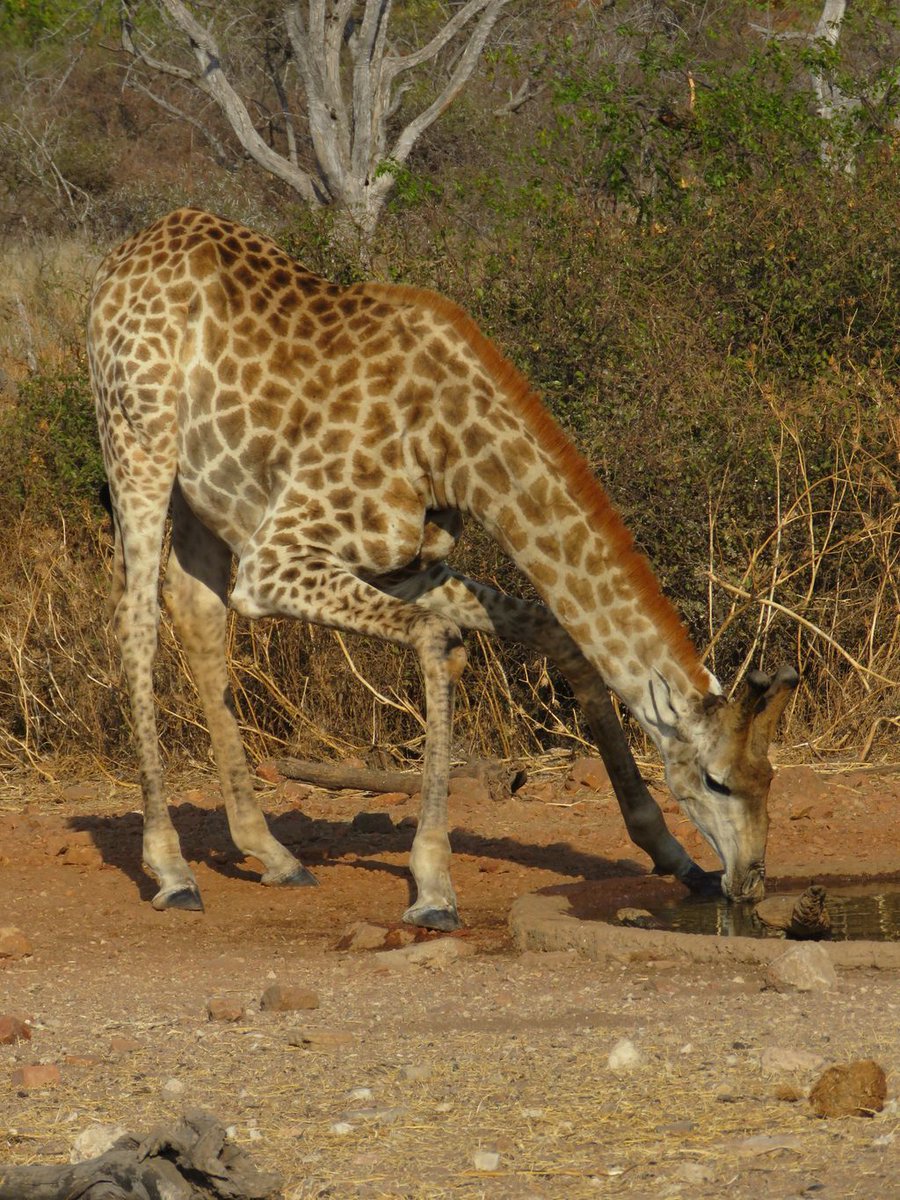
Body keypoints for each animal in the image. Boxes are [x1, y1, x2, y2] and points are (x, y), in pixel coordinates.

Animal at [87, 207, 798, 930]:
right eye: (716, 781)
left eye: (769, 778)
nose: (750, 881)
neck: (452, 446)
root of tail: (123, 255)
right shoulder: (275, 561)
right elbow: (440, 642)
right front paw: (432, 884)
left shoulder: (408, 563)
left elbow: (554, 631)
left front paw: (673, 855)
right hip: (136, 445)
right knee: (135, 624)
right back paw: (171, 870)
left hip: (203, 492)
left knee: (196, 611)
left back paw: (272, 854)